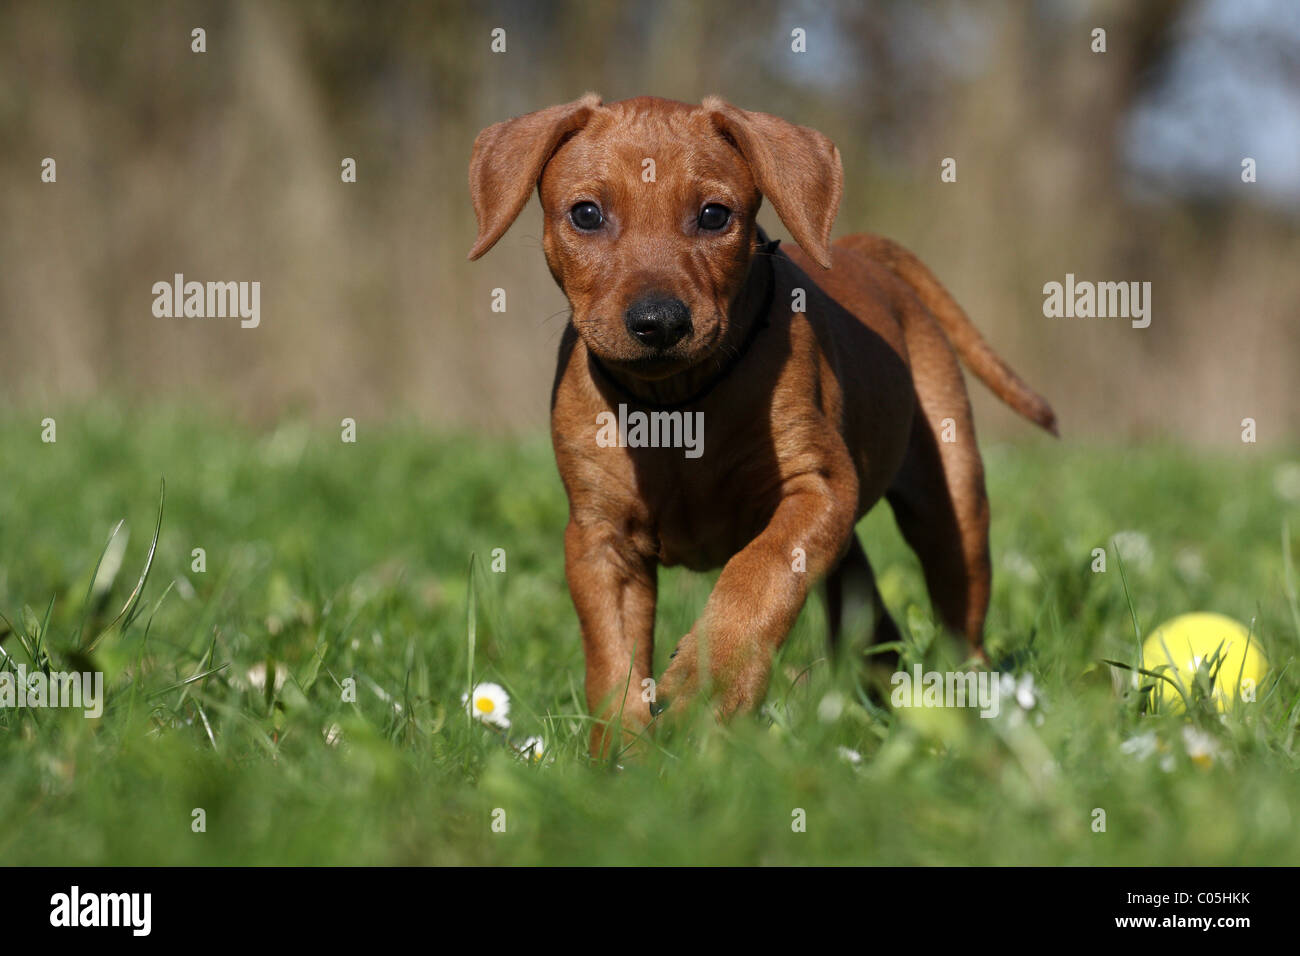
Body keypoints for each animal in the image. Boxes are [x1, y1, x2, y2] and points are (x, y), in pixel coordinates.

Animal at [467, 93, 1055, 759]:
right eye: (586, 214)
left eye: (714, 215)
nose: (659, 321)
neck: (677, 405)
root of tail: (858, 250)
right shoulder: (599, 538)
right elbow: (612, 656)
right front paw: (621, 754)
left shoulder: (818, 490)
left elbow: (761, 574)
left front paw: (708, 687)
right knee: (868, 612)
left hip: (952, 502)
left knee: (961, 613)